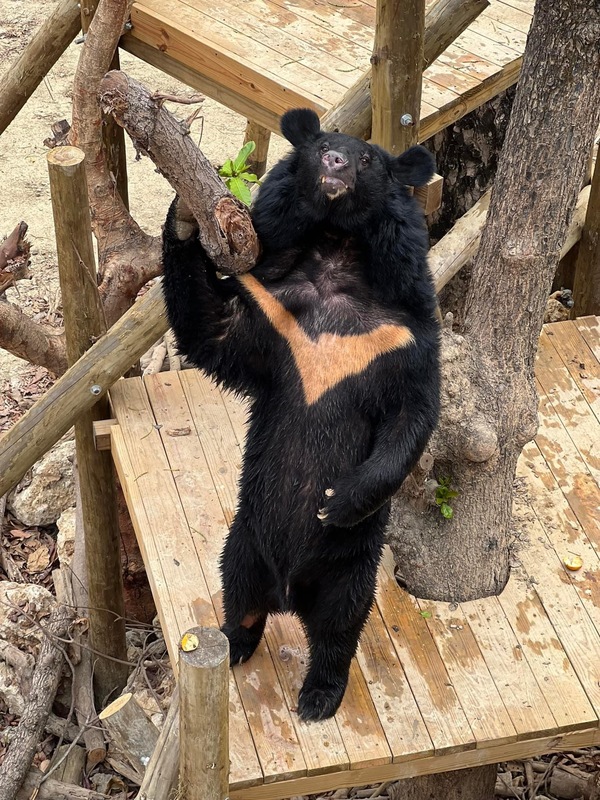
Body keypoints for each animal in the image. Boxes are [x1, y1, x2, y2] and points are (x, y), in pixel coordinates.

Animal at [161, 108, 441, 722]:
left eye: (367, 157)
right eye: (321, 146)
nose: (336, 161)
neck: (336, 252)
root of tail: (289, 593)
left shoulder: (404, 334)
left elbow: (412, 415)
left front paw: (336, 501)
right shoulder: (274, 311)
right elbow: (214, 330)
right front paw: (184, 214)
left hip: (349, 568)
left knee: (339, 630)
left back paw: (318, 696)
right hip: (244, 541)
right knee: (238, 593)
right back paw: (235, 643)